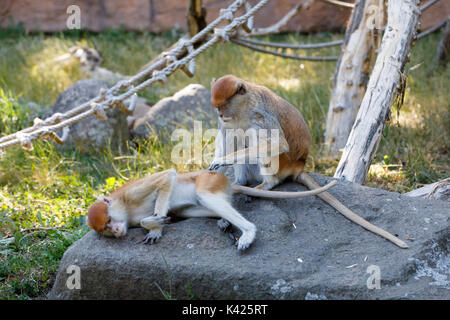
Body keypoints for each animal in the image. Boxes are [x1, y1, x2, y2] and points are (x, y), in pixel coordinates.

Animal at [87, 169, 334, 249]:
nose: (115, 231)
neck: (124, 208)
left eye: (108, 222)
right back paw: (224, 220)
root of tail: (228, 181)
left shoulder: (131, 193)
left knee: (203, 195)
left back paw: (248, 232)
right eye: (106, 230)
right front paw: (155, 225)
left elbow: (167, 176)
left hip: (209, 180)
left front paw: (154, 227)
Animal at [209, 74, 410, 249]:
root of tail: (299, 165)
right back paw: (241, 184)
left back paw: (264, 185)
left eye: (224, 104)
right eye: (216, 107)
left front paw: (222, 160)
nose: (220, 114)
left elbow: (278, 143)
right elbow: (229, 137)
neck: (244, 107)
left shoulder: (261, 116)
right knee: (235, 135)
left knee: (254, 137)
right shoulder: (227, 123)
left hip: (283, 162)